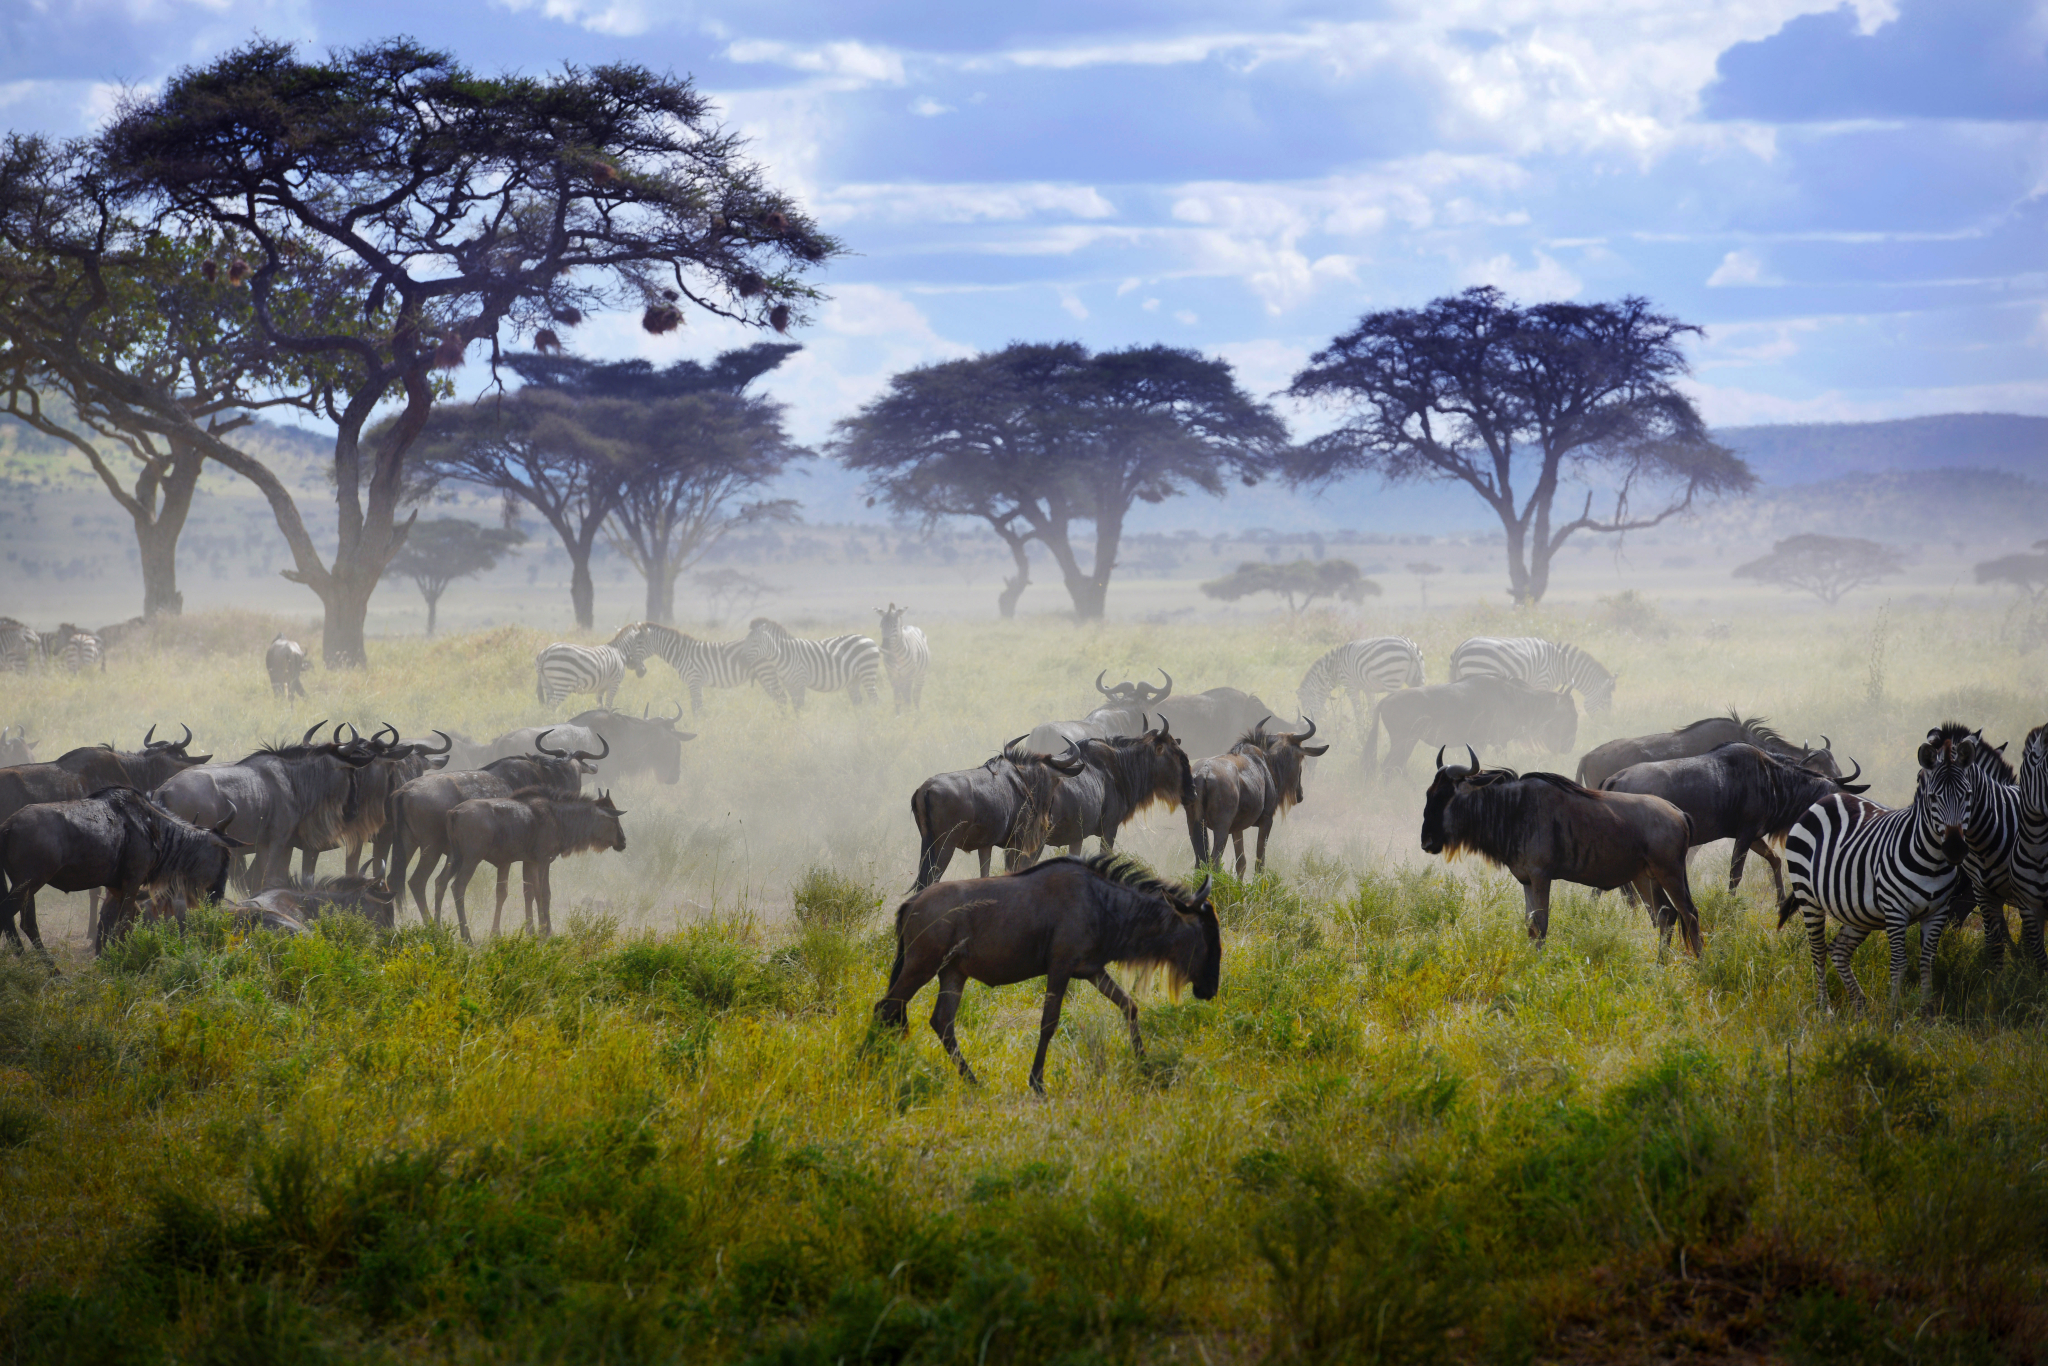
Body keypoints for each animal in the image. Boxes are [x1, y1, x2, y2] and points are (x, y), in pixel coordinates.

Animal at [610, 622, 786, 716]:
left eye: (639, 643)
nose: (630, 664)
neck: (681, 653)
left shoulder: (694, 680)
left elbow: (697, 709)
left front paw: (699, 730)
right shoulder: (696, 683)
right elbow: (697, 707)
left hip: (766, 673)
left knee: (781, 699)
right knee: (779, 699)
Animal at [749, 614, 884, 712]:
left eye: (754, 641)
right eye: (746, 641)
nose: (746, 659)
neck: (785, 654)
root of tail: (869, 639)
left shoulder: (800, 681)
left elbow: (799, 706)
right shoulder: (789, 683)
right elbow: (794, 706)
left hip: (867, 670)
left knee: (874, 699)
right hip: (854, 678)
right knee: (858, 701)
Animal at [1294, 638, 1425, 737]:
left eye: (1305, 706)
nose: (1315, 730)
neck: (1334, 668)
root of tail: (1409, 646)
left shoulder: (1350, 686)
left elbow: (1358, 711)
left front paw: (1360, 733)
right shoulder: (1368, 688)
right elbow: (1372, 709)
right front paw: (1372, 731)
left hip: (1391, 680)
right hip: (1416, 680)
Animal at [1777, 733, 1982, 1011]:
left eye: (1968, 795)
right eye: (1933, 798)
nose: (1955, 848)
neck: (1932, 861)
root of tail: (1827, 799)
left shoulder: (1938, 911)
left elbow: (1927, 961)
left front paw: (1926, 1011)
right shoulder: (1896, 911)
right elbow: (1899, 964)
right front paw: (1894, 1011)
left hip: (1857, 912)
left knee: (1838, 950)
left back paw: (1860, 1005)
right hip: (1808, 897)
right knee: (1818, 951)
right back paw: (1825, 1008)